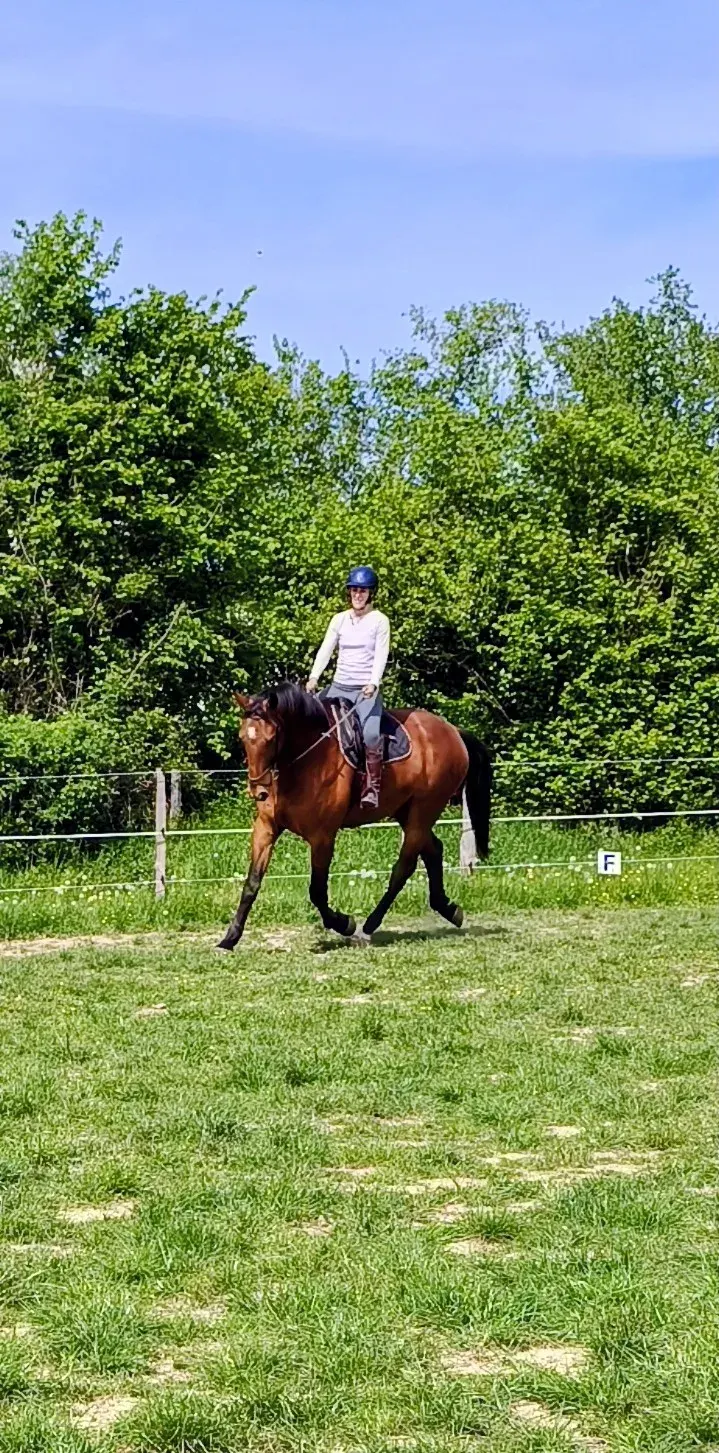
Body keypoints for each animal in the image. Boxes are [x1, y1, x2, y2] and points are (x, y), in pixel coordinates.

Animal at [217, 683, 491, 951]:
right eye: (243, 737)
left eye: (272, 737)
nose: (258, 791)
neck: (305, 759)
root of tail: (453, 731)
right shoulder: (266, 828)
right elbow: (252, 883)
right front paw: (229, 939)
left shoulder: (322, 837)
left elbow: (317, 891)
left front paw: (344, 923)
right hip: (408, 812)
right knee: (434, 850)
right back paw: (449, 910)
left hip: (423, 811)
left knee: (404, 867)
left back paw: (370, 924)